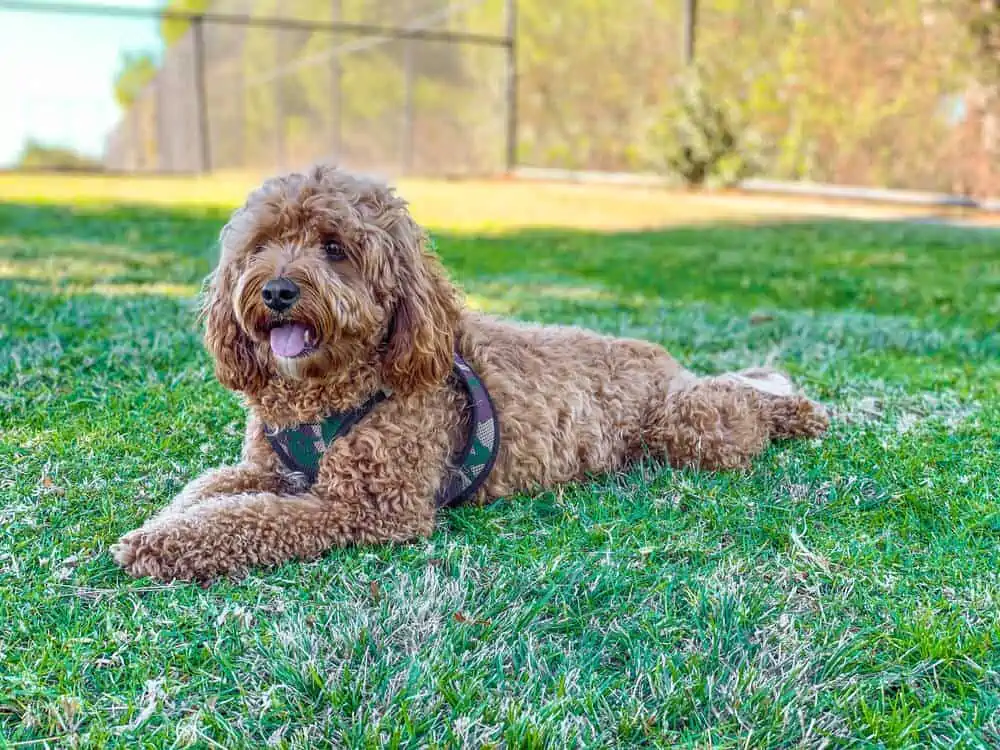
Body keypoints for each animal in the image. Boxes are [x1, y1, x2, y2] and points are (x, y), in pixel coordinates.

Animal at [111, 167, 828, 584]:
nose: (278, 291)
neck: (326, 393)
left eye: (335, 248)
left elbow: (246, 520)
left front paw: (159, 545)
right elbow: (208, 492)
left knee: (742, 406)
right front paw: (163, 523)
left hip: (691, 429)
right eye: (261, 245)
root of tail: (662, 359)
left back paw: (800, 411)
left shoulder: (368, 507)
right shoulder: (266, 468)